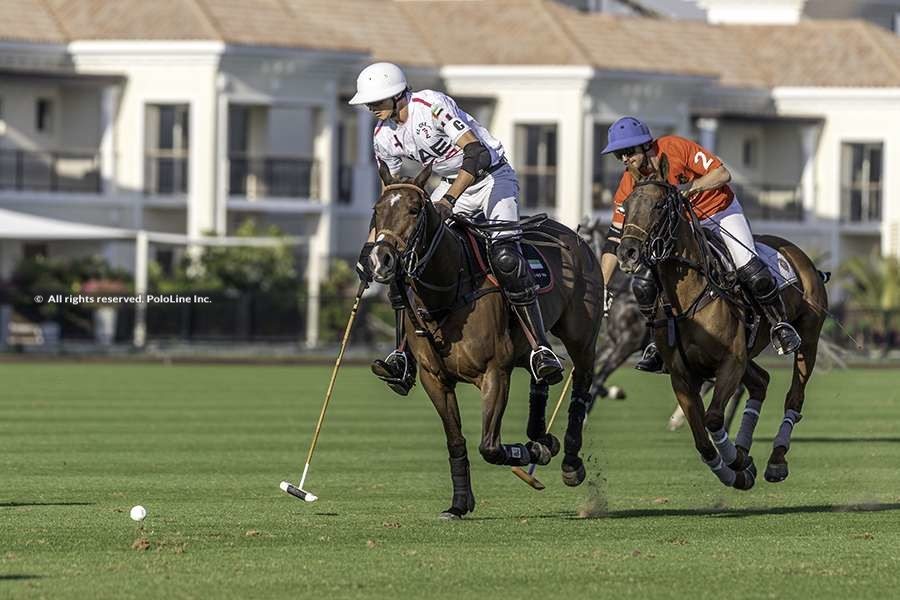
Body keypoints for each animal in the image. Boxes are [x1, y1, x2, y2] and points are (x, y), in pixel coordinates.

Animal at [366, 162, 604, 516]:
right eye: (377, 210)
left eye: (414, 210)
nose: (381, 260)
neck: (447, 290)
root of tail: (577, 237)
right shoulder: (434, 379)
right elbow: (456, 441)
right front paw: (459, 503)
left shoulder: (494, 372)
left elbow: (489, 446)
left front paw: (534, 453)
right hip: (528, 345)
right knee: (542, 371)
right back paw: (542, 423)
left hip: (581, 335)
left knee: (581, 383)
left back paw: (570, 462)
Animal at [616, 157, 828, 490]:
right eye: (625, 205)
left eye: (660, 205)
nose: (628, 253)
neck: (689, 298)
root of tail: (799, 255)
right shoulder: (682, 375)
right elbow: (703, 441)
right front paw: (738, 467)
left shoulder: (731, 360)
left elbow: (713, 419)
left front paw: (738, 461)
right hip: (749, 352)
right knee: (761, 382)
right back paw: (745, 448)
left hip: (808, 337)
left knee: (794, 395)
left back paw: (776, 461)